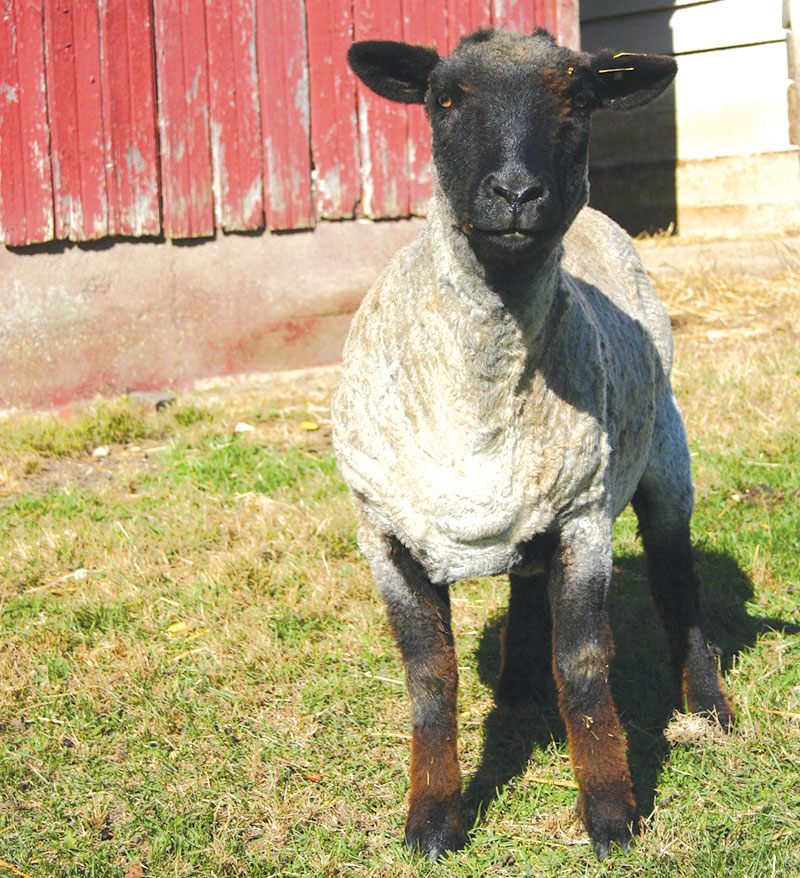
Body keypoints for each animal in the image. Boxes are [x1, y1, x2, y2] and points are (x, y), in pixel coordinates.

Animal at [330, 27, 734, 861]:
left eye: (579, 101)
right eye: (443, 99)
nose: (516, 194)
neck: (481, 404)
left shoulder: (584, 518)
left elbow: (582, 667)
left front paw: (610, 812)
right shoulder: (384, 535)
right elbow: (430, 679)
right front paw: (432, 818)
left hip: (664, 456)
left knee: (677, 584)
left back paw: (708, 705)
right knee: (524, 578)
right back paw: (518, 689)